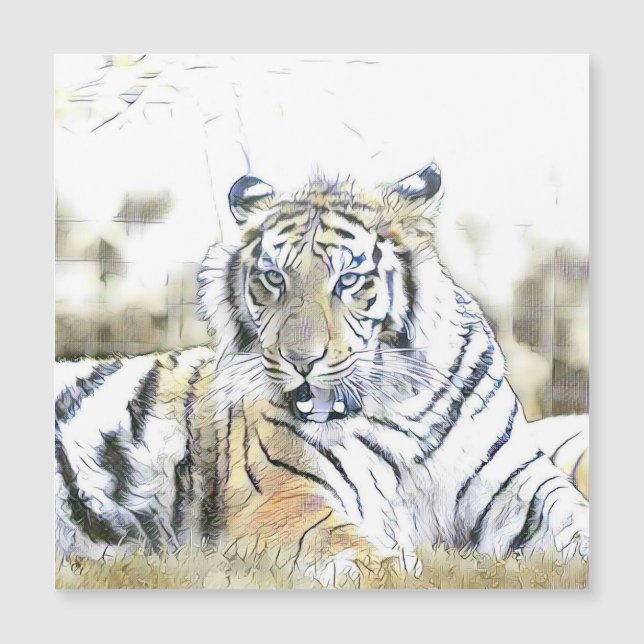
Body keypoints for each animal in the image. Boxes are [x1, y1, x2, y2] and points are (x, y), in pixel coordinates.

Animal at [55, 162, 589, 583]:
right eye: (274, 278)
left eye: (348, 280)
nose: (301, 360)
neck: (402, 410)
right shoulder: (286, 498)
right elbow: (363, 558)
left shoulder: (520, 485)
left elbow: (576, 519)